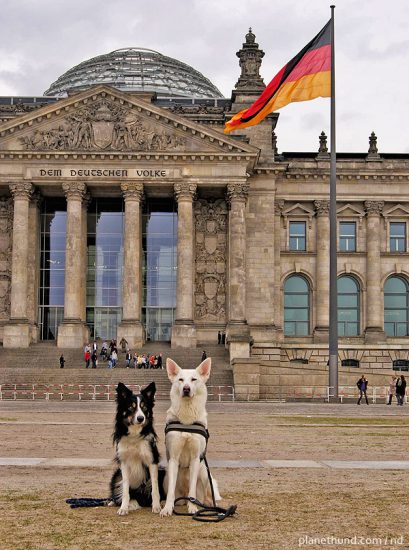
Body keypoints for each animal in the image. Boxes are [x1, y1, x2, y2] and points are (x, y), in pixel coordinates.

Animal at [161, 358, 222, 516]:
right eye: (180, 380)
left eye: (194, 379)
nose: (186, 389)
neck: (187, 419)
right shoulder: (173, 458)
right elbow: (171, 492)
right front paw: (167, 508)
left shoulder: (195, 459)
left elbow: (192, 490)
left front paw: (193, 507)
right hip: (166, 476)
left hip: (205, 473)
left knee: (204, 494)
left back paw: (207, 504)